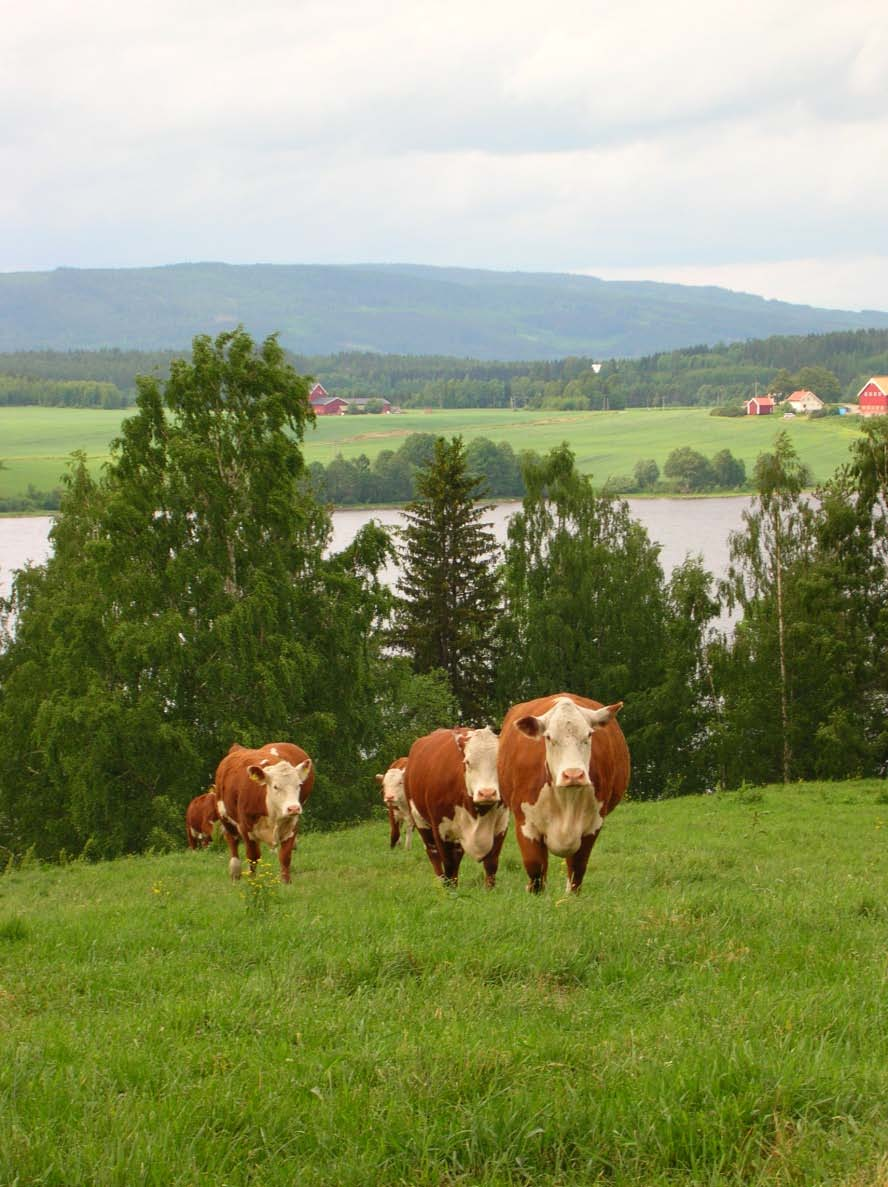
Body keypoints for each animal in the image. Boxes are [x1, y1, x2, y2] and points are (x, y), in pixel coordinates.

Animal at [213, 740, 313, 883]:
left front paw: (286, 882)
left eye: (299, 785)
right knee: (232, 841)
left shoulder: (292, 826)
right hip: (224, 816)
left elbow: (285, 856)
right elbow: (253, 857)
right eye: (276, 786)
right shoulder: (246, 828)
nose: (293, 808)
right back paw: (235, 872)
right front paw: (253, 881)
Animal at [401, 721, 505, 892]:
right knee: (433, 853)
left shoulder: (501, 824)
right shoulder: (441, 827)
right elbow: (448, 863)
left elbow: (491, 862)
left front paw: (490, 890)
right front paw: (450, 891)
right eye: (467, 762)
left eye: (499, 762)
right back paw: (440, 881)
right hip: (420, 820)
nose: (487, 793)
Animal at [496, 693, 626, 892]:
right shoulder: (525, 823)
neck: (566, 800)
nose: (573, 774)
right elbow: (535, 868)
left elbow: (577, 867)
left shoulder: (593, 824)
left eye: (589, 734)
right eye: (549, 737)